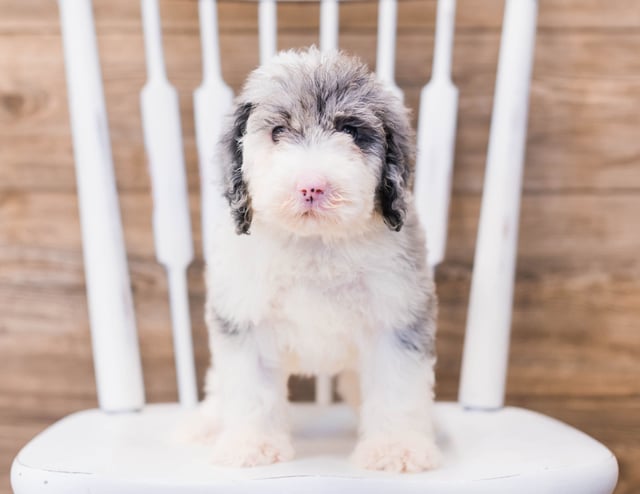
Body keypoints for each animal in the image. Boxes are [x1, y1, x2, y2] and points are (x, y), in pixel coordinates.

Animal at [202, 48, 438, 472]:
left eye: (351, 131)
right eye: (278, 131)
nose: (311, 186)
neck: (316, 244)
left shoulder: (397, 315)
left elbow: (397, 388)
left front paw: (397, 448)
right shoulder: (246, 319)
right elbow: (251, 390)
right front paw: (252, 445)